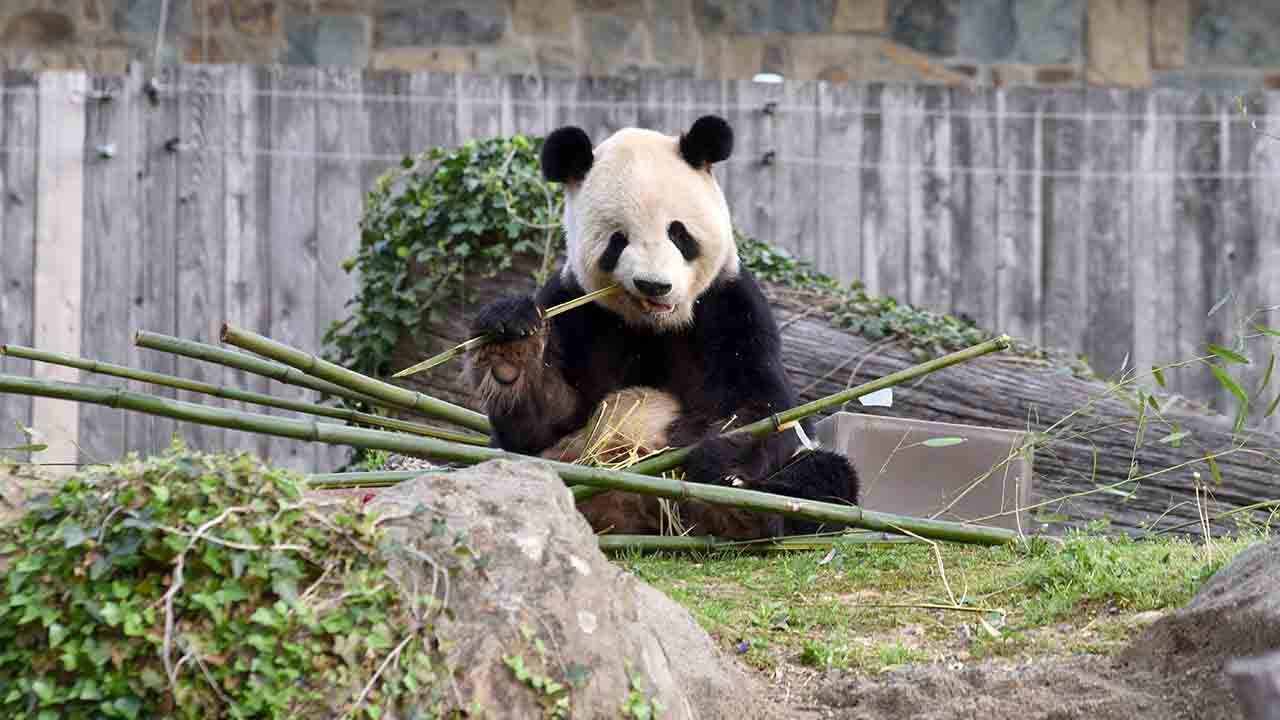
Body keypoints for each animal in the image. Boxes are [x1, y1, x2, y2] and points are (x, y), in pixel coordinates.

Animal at [460, 113, 860, 538]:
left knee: (823, 476)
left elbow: (761, 405)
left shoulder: (729, 308)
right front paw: (510, 351)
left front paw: (720, 463)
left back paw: (737, 509)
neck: (655, 324)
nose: (654, 285)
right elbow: (543, 423)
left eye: (679, 233)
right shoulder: (577, 309)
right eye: (617, 241)